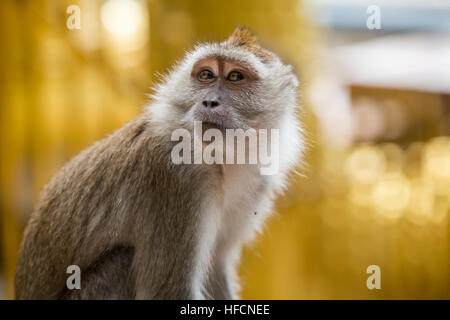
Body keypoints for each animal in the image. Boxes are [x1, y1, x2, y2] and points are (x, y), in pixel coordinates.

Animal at [14, 26, 302, 300]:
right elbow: (169, 290)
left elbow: (216, 266)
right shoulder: (177, 177)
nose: (209, 101)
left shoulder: (257, 182)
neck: (221, 158)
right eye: (206, 75)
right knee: (122, 262)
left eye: (235, 77)